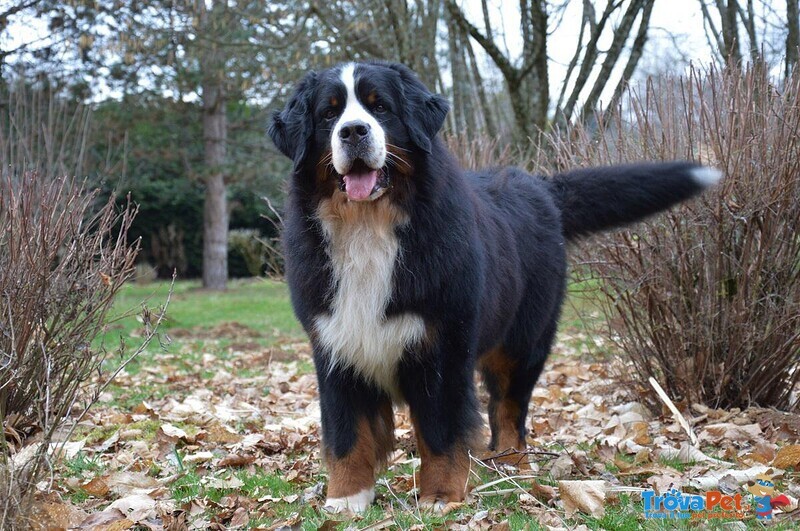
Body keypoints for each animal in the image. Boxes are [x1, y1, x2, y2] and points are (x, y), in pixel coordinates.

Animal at [268, 60, 720, 512]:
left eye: (380, 108)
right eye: (329, 114)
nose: (353, 131)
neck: (368, 228)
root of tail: (541, 187)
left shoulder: (442, 348)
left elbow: (441, 432)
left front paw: (440, 495)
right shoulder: (337, 345)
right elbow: (348, 433)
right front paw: (346, 498)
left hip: (522, 342)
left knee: (509, 408)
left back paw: (509, 465)